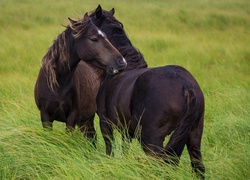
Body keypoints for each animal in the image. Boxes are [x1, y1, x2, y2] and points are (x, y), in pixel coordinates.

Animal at [89, 5, 206, 179]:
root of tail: (186, 87)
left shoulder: (105, 122)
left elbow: (110, 149)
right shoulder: (127, 130)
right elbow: (125, 149)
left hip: (152, 139)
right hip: (194, 135)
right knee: (198, 167)